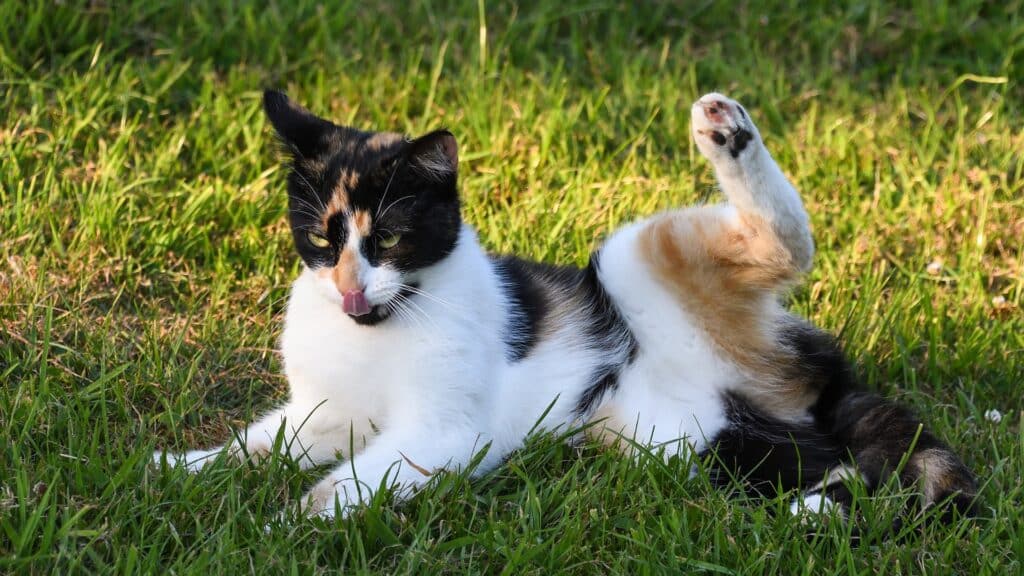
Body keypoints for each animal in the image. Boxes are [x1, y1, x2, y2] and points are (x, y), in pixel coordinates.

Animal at [151, 88, 974, 520]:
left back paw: (726, 131)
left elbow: (344, 483)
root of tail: (821, 376)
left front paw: (285, 525)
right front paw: (180, 469)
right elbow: (260, 445)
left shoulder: (446, 433)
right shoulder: (322, 413)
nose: (351, 287)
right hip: (696, 446)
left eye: (387, 238)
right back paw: (820, 506)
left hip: (633, 257)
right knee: (830, 463)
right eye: (322, 239)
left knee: (788, 245)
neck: (384, 326)